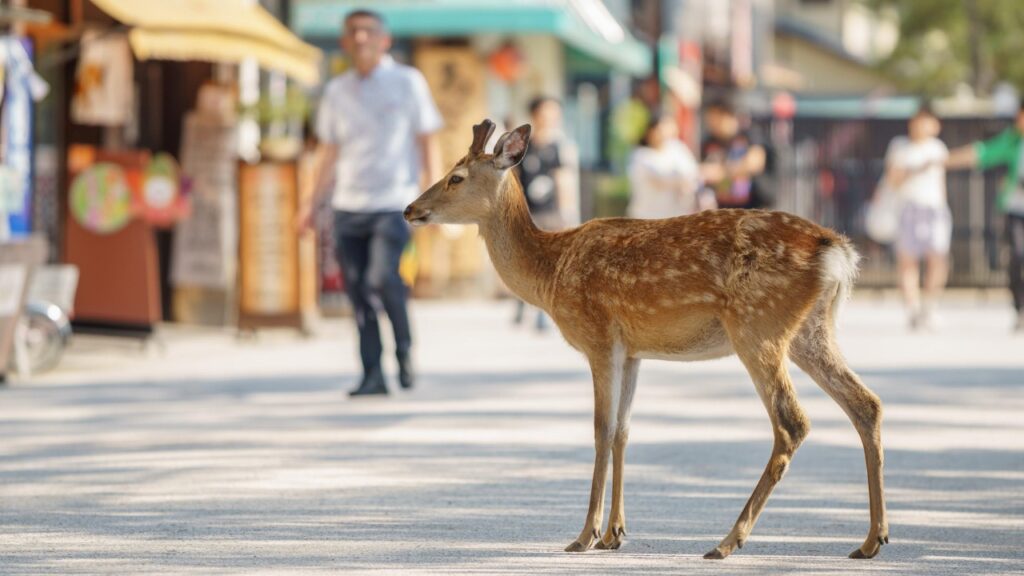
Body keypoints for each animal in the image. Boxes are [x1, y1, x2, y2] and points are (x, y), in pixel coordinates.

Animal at [403, 120, 888, 560]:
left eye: (456, 176)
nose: (409, 209)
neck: (551, 270)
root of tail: (837, 251)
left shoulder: (598, 336)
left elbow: (600, 430)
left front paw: (585, 536)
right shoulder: (632, 350)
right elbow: (623, 430)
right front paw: (615, 534)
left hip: (758, 326)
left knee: (792, 422)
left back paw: (728, 541)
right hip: (811, 330)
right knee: (866, 404)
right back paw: (871, 540)